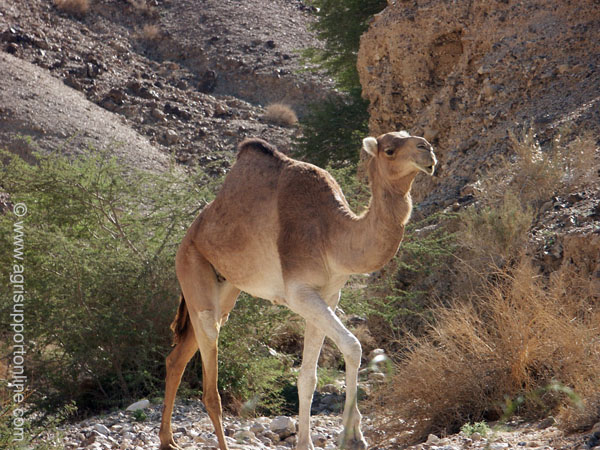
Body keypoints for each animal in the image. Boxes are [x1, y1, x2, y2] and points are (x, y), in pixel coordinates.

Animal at [158, 131, 436, 450]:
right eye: (389, 150)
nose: (427, 150)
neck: (333, 235)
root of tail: (188, 236)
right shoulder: (299, 292)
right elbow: (353, 346)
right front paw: (353, 435)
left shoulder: (328, 294)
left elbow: (308, 377)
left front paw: (307, 441)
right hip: (193, 266)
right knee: (209, 379)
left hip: (225, 288)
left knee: (178, 356)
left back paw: (167, 439)